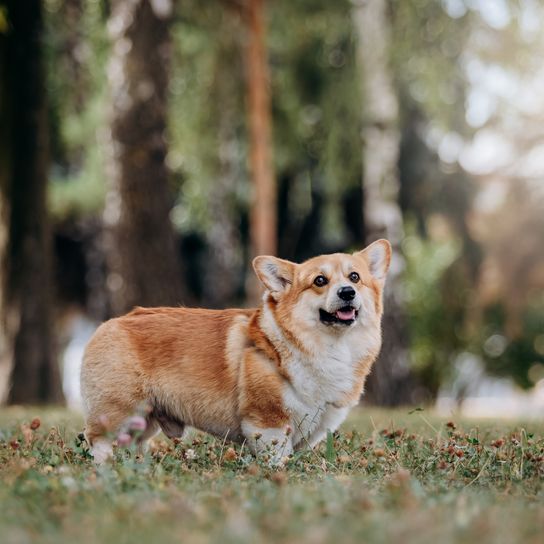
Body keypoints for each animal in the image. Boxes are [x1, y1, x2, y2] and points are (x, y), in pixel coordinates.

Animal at [81, 239, 392, 464]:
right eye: (319, 281)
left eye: (355, 277)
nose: (347, 292)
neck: (328, 346)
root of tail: (109, 324)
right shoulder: (268, 423)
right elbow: (278, 457)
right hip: (119, 411)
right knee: (97, 440)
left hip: (143, 421)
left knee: (135, 445)